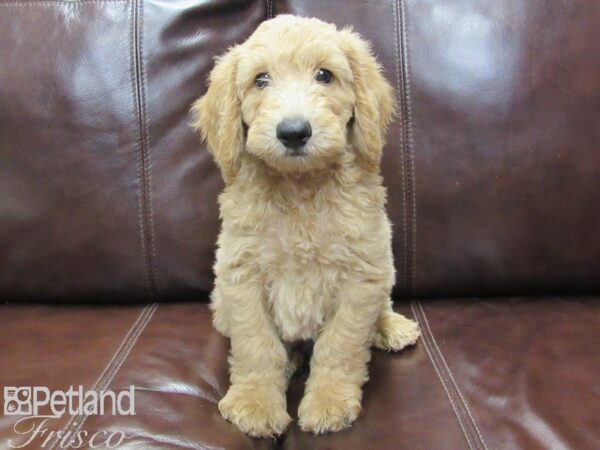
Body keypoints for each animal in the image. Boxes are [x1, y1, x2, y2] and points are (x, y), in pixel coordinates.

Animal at [191, 15, 418, 438]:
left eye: (324, 75)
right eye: (261, 80)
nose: (294, 132)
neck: (300, 187)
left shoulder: (362, 275)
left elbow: (340, 345)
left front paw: (329, 403)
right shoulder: (241, 275)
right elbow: (257, 346)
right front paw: (255, 403)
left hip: (385, 267)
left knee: (381, 306)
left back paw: (390, 327)